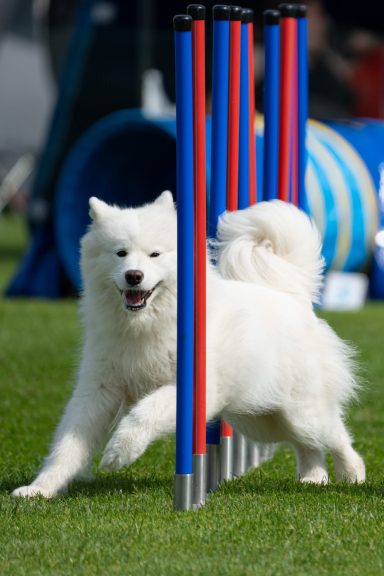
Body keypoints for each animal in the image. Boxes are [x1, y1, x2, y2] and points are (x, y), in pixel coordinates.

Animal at [12, 191, 366, 498]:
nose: (134, 275)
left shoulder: (189, 391)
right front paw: (40, 489)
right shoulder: (98, 391)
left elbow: (145, 413)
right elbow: (68, 445)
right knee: (308, 445)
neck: (147, 326)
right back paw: (313, 478)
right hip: (263, 418)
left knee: (336, 435)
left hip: (300, 411)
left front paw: (118, 452)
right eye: (120, 253)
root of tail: (294, 296)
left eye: (155, 254)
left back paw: (352, 475)